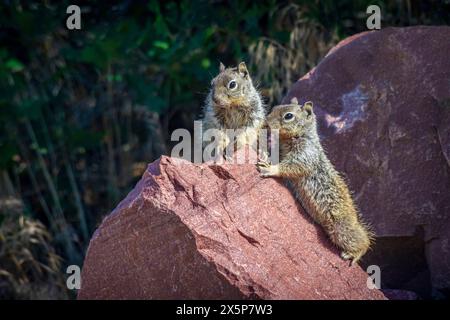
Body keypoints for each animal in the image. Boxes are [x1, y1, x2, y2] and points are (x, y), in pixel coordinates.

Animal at [256, 97, 372, 264]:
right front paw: (265, 156)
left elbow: (292, 166)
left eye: (288, 116)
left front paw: (270, 168)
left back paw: (353, 254)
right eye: (275, 107)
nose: (266, 121)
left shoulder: (305, 155)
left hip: (340, 229)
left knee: (363, 240)